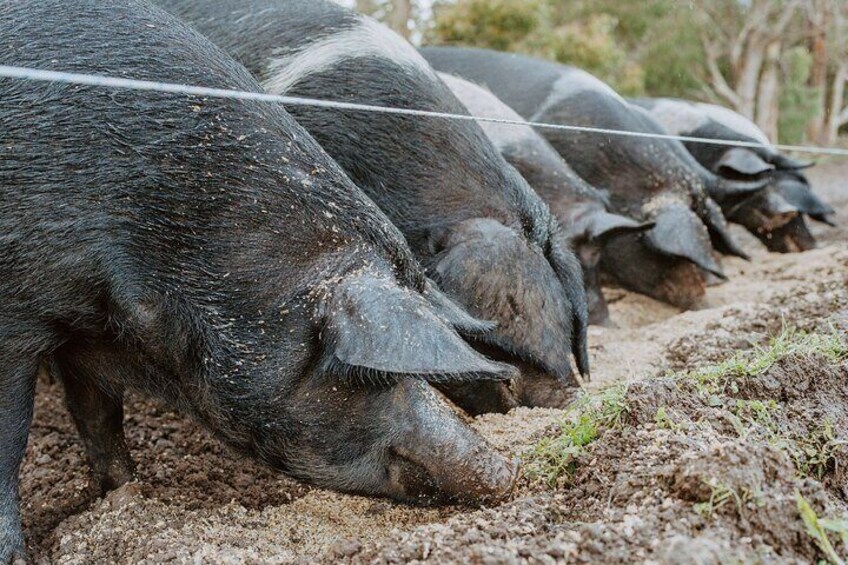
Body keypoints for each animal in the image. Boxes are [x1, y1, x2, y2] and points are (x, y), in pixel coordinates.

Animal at [0, 1, 516, 560]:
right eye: (363, 371)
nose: (505, 470)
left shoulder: (85, 331)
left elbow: (99, 420)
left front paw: (125, 497)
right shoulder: (17, 318)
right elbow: (12, 435)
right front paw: (17, 555)